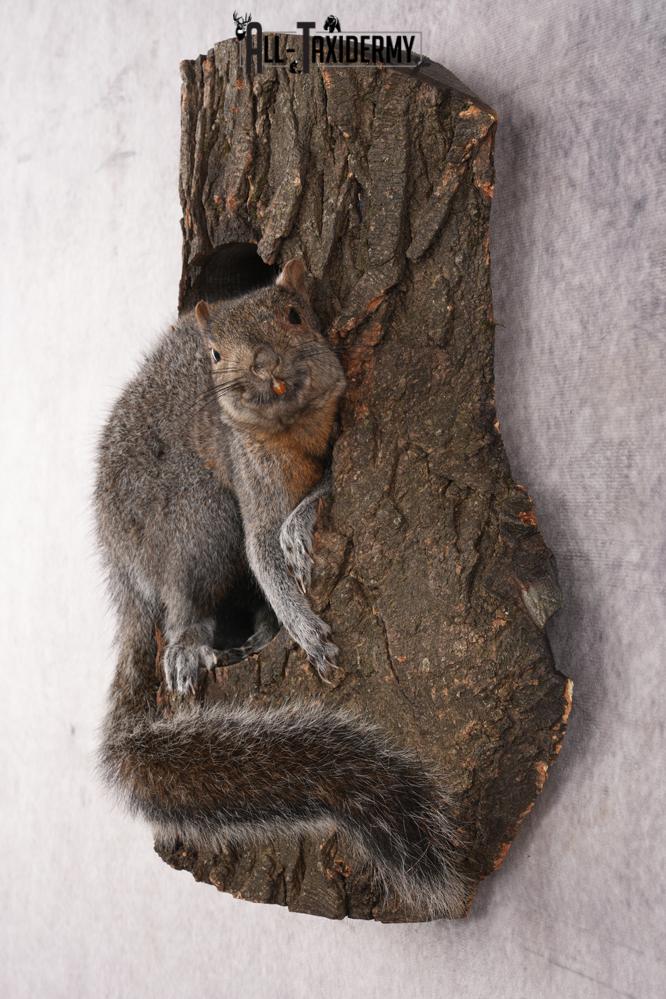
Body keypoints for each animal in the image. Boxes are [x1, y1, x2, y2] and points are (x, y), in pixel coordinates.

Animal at [95, 258, 467, 917]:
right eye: (216, 354)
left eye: (295, 315)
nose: (265, 365)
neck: (294, 429)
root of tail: (121, 557)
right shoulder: (253, 473)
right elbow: (262, 550)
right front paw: (305, 627)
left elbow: (321, 495)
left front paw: (303, 524)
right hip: (195, 521)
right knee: (184, 603)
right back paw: (191, 644)